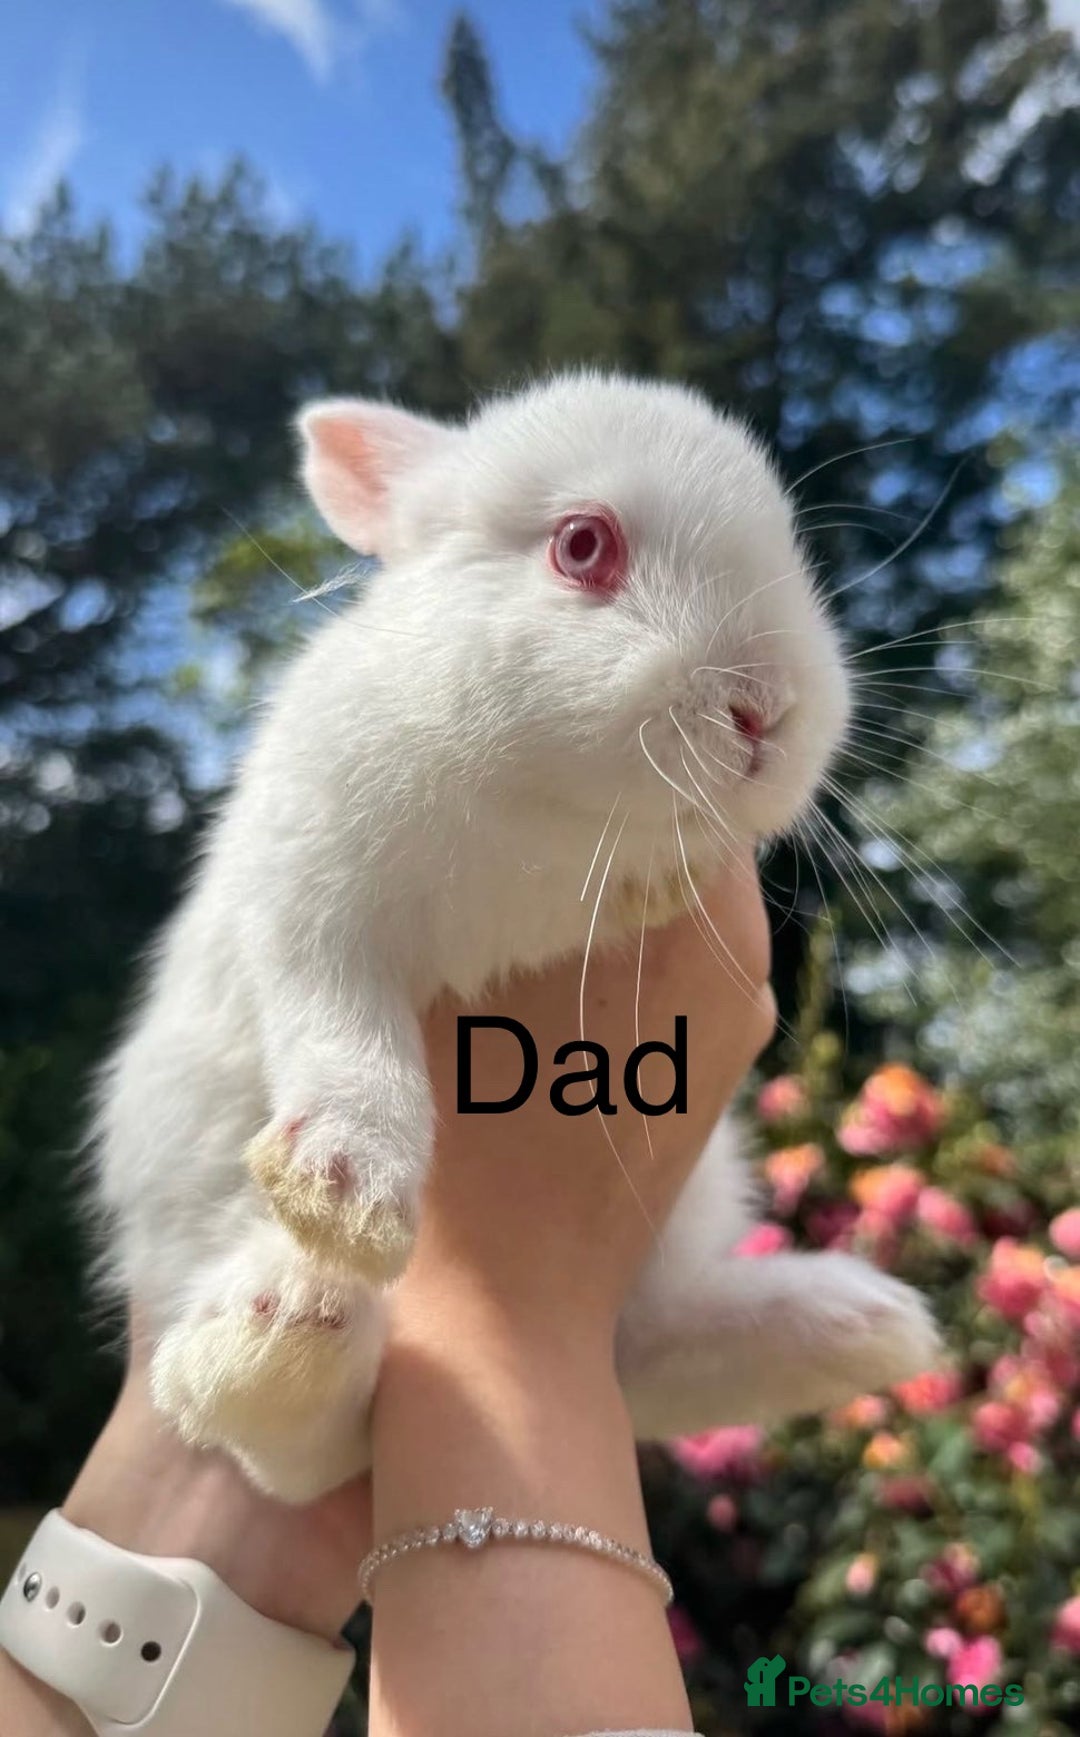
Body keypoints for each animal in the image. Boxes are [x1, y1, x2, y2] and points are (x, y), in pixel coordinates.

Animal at [92, 371, 939, 1500]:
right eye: (583, 545)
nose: (770, 712)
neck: (544, 809)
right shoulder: (312, 910)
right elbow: (347, 1046)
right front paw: (344, 1198)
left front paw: (647, 885)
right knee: (285, 1440)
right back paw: (279, 1333)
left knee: (642, 1353)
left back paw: (867, 1322)